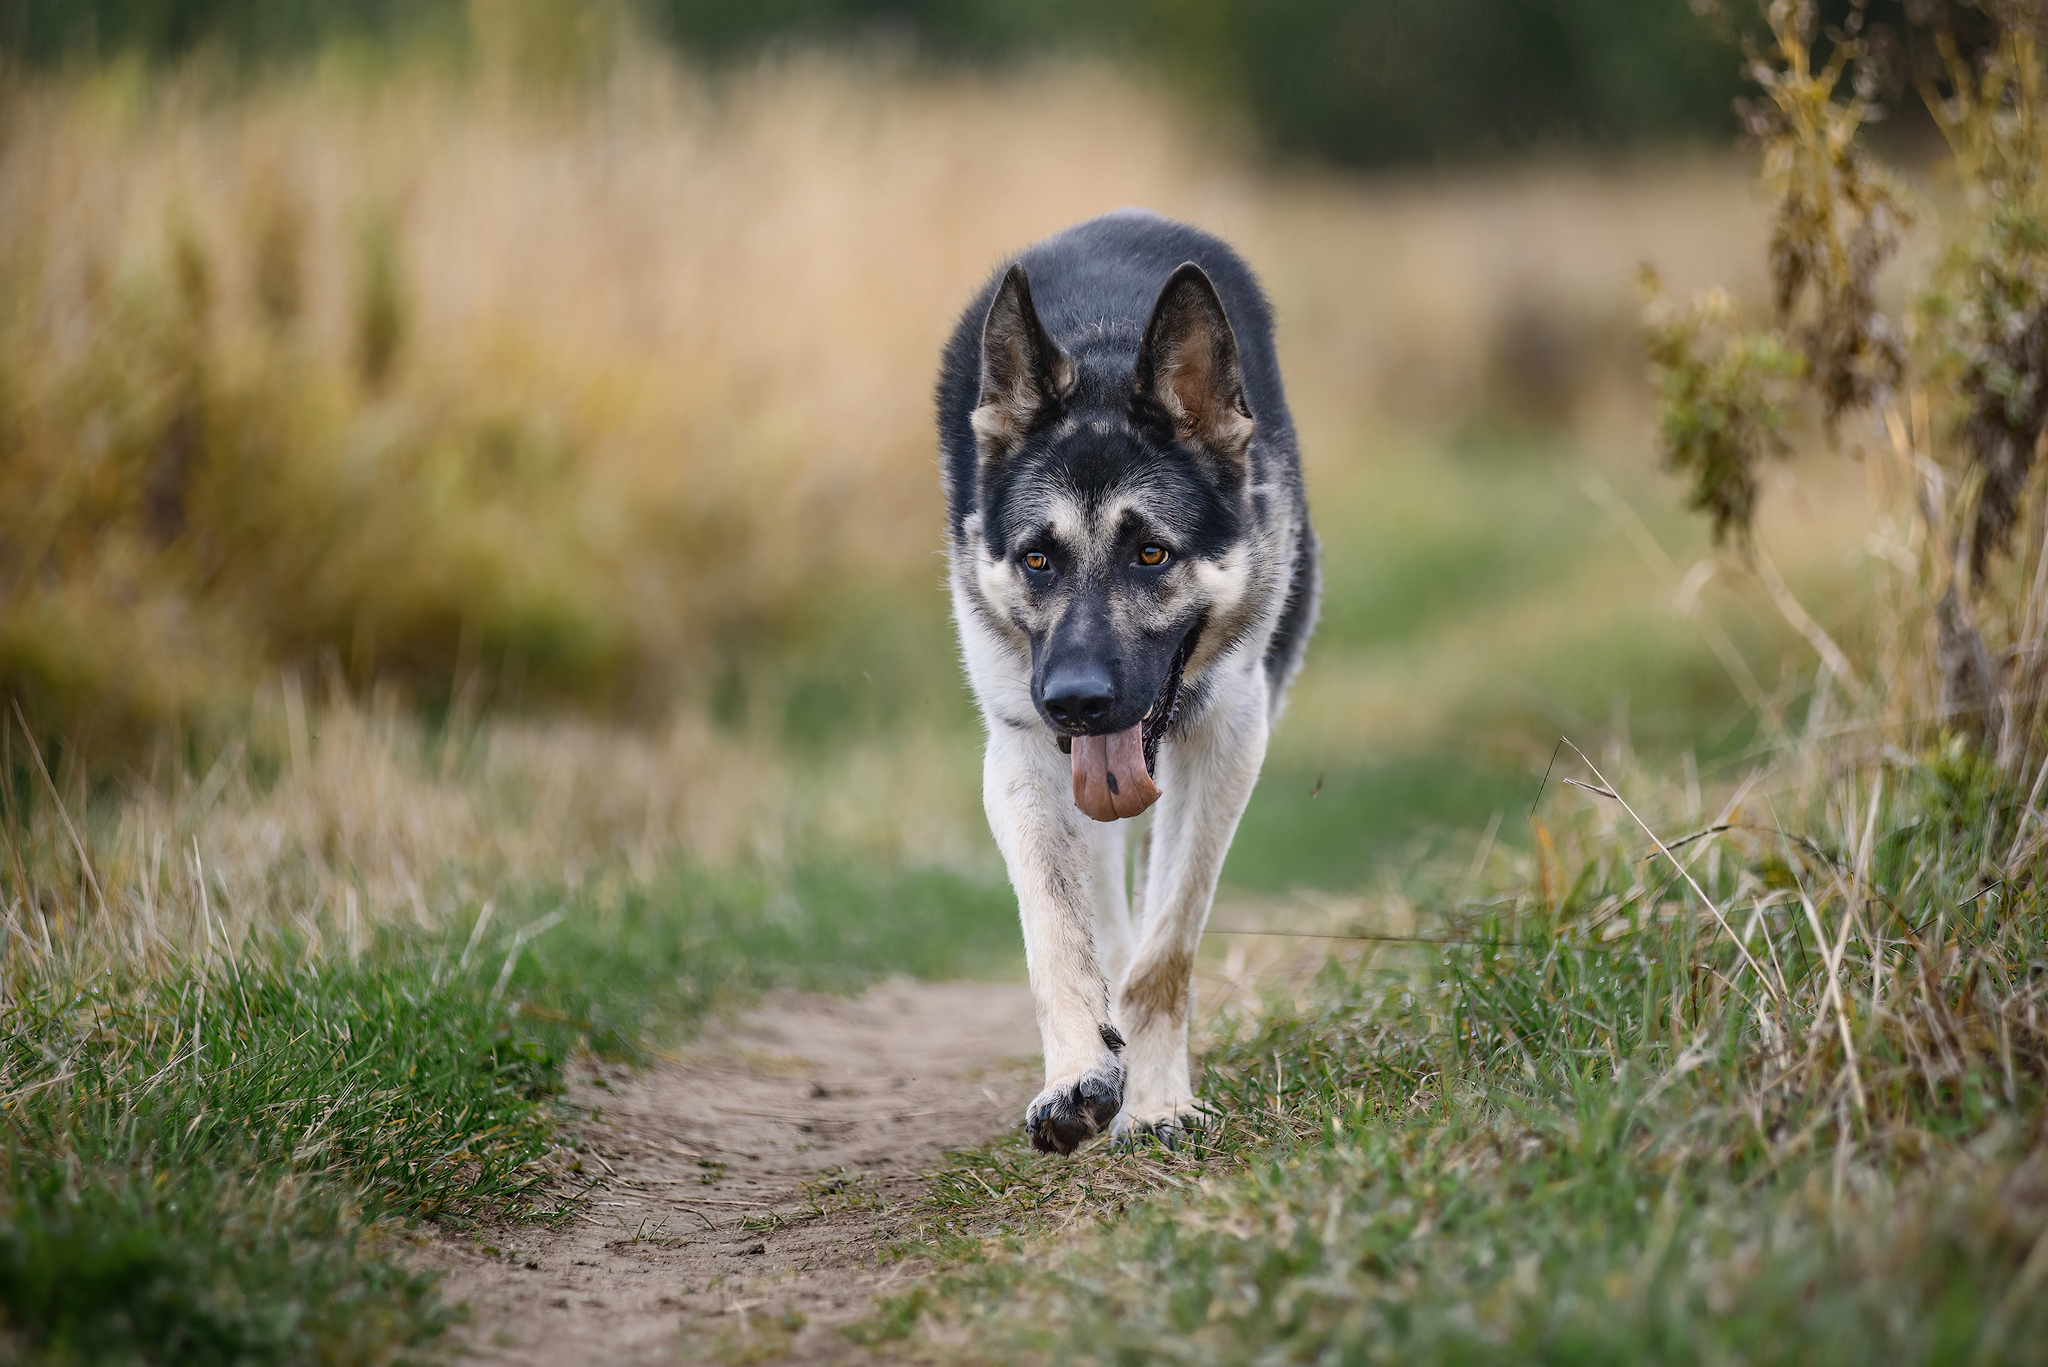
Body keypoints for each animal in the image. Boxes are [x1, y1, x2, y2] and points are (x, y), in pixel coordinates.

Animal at [937, 211, 1318, 1155]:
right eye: (1038, 558)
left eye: (1151, 553)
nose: (1076, 700)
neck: (1104, 350)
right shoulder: (1022, 755)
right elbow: (1060, 934)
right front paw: (1081, 1069)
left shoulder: (1226, 740)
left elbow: (1164, 948)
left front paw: (1156, 1103)